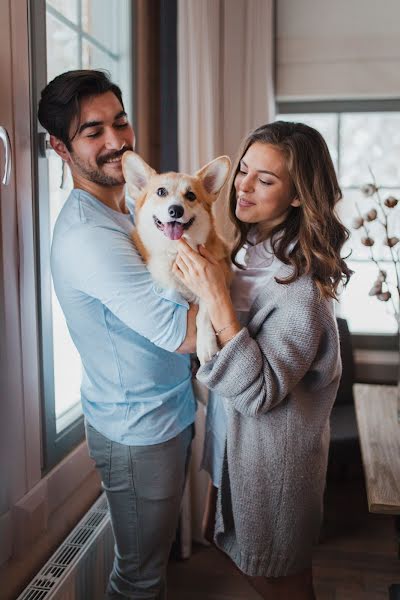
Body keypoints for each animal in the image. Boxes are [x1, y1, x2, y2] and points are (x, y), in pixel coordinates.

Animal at [122, 152, 231, 364]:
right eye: (161, 192)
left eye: (191, 196)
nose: (176, 210)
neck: (175, 251)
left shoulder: (219, 279)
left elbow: (204, 310)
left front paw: (206, 344)